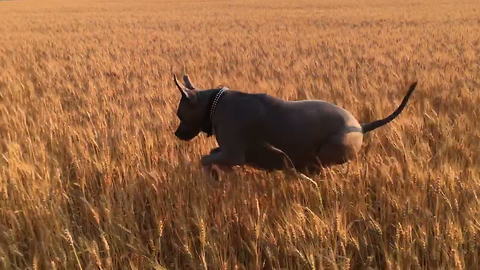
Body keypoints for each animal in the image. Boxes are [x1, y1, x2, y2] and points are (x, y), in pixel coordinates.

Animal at [173, 74, 416, 175]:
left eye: (179, 115)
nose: (176, 133)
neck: (214, 103)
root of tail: (361, 125)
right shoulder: (228, 151)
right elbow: (212, 154)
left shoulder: (234, 154)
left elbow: (205, 159)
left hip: (327, 152)